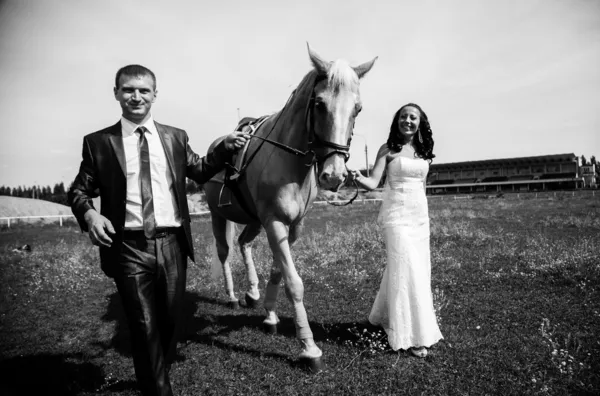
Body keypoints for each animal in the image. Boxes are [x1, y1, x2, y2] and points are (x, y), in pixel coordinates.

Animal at [204, 44, 378, 370]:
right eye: (319, 104)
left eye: (358, 108)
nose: (334, 175)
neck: (289, 162)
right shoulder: (274, 222)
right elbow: (294, 282)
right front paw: (309, 348)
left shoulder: (293, 226)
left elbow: (277, 272)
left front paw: (270, 317)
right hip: (218, 216)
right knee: (224, 252)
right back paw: (233, 296)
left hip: (253, 219)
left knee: (244, 244)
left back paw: (252, 292)